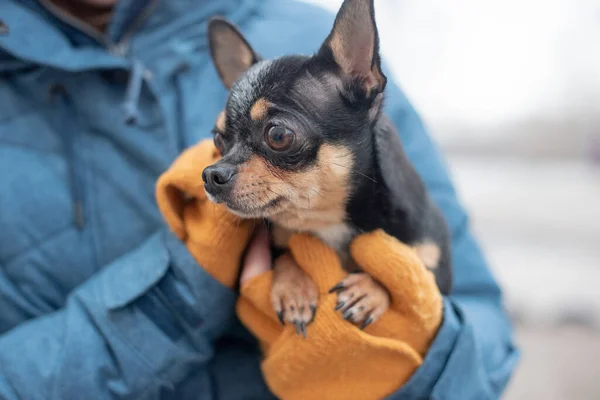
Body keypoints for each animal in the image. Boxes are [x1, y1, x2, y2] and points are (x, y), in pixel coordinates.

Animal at [202, 0, 450, 334]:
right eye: (218, 138)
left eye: (278, 135)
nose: (210, 175)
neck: (330, 219)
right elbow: (286, 252)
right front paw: (294, 288)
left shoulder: (438, 267)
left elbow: (415, 270)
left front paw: (371, 289)